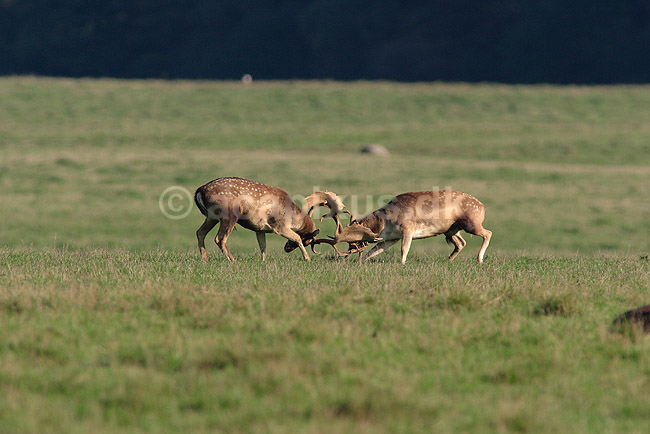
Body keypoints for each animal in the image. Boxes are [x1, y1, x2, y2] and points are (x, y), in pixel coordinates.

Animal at [194, 177, 343, 262]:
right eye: (308, 241)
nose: (287, 249)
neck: (291, 216)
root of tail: (199, 191)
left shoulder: (259, 229)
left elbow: (263, 245)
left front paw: (263, 261)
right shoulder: (279, 225)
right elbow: (296, 237)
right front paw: (308, 259)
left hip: (211, 216)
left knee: (200, 232)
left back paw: (204, 259)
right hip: (229, 214)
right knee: (219, 238)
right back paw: (233, 261)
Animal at [314, 189, 492, 264]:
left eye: (353, 241)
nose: (349, 252)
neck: (386, 222)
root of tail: (483, 207)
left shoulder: (408, 229)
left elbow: (404, 249)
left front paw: (403, 264)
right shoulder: (390, 238)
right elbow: (374, 251)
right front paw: (360, 262)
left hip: (472, 224)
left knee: (488, 233)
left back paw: (479, 259)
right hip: (451, 231)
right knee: (461, 243)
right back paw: (448, 260)